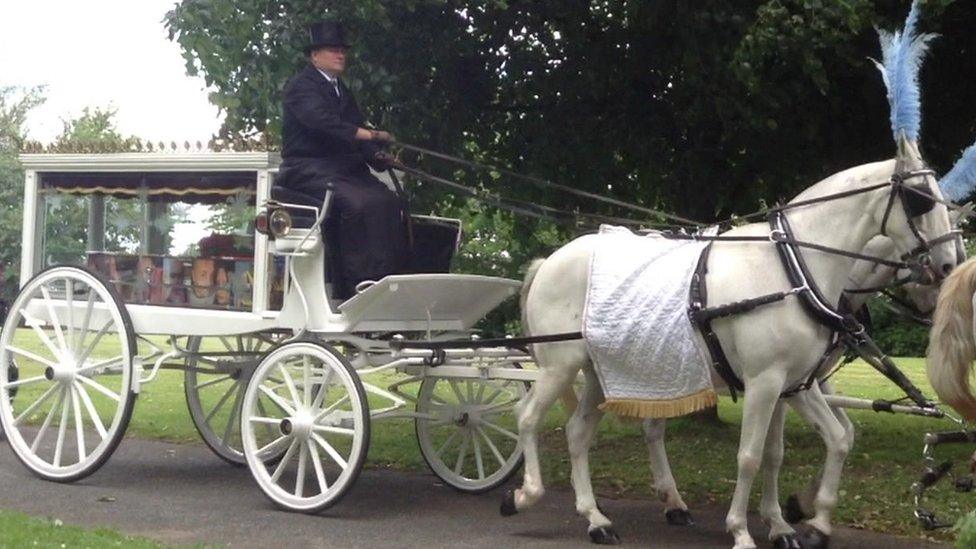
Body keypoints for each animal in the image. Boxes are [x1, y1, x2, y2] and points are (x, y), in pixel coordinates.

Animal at [504, 138, 952, 548]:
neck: (793, 269)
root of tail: (550, 261)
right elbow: (750, 457)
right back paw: (526, 494)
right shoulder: (764, 382)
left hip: (607, 373)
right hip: (560, 366)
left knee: (578, 432)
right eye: (921, 199)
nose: (948, 266)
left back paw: (596, 517)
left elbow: (814, 445)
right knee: (527, 418)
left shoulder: (794, 385)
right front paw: (742, 530)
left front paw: (797, 524)